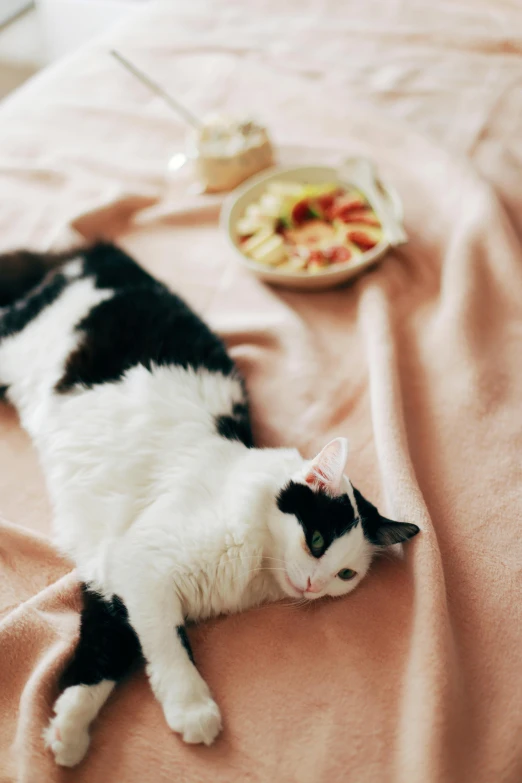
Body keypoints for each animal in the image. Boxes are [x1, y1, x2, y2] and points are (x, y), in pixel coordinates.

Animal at [0, 243, 416, 764]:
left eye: (345, 575)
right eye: (317, 540)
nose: (314, 587)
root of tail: (100, 251)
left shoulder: (110, 577)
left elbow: (104, 655)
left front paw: (68, 731)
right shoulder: (143, 566)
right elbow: (169, 643)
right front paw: (193, 709)